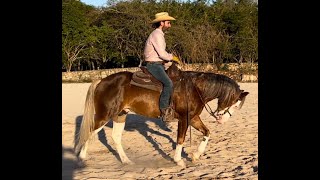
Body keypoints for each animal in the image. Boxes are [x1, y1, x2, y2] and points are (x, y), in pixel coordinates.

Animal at [74, 62, 249, 167]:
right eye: (234, 103)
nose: (222, 120)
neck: (194, 88)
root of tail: (102, 81)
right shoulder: (184, 119)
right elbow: (180, 139)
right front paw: (179, 160)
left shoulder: (193, 118)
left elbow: (207, 132)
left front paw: (195, 155)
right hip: (104, 115)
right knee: (90, 132)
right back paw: (82, 158)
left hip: (120, 115)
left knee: (116, 137)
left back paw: (126, 160)